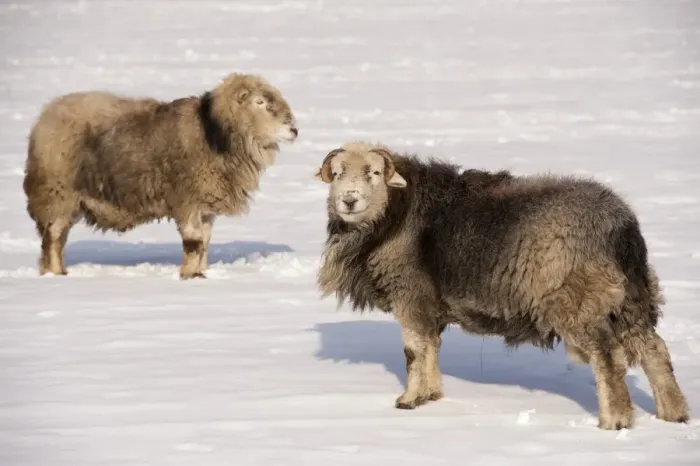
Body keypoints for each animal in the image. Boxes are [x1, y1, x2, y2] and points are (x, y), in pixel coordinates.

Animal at [23, 73, 298, 279]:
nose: (294, 130)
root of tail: (44, 116)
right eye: (259, 102)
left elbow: (205, 241)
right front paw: (190, 276)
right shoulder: (187, 200)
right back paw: (56, 275)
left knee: (59, 237)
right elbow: (193, 241)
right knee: (52, 237)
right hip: (58, 192)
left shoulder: (205, 205)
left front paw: (201, 273)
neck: (212, 133)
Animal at [314, 141, 689, 430]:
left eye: (374, 173)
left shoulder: (410, 297)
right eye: (338, 173)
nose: (349, 200)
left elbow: (414, 353)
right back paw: (673, 413)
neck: (396, 214)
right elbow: (431, 349)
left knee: (609, 358)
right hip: (630, 296)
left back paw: (615, 421)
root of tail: (620, 225)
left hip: (579, 304)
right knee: (653, 349)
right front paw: (432, 395)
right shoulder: (429, 307)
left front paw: (408, 400)